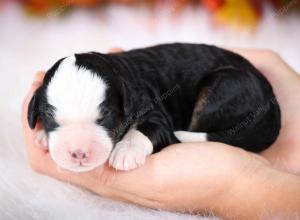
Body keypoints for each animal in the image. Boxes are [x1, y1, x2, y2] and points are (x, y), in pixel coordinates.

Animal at [26, 43, 282, 172]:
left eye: (106, 117)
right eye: (49, 118)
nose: (78, 153)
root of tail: (272, 101)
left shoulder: (155, 111)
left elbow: (146, 128)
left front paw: (126, 153)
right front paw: (42, 136)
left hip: (224, 86)